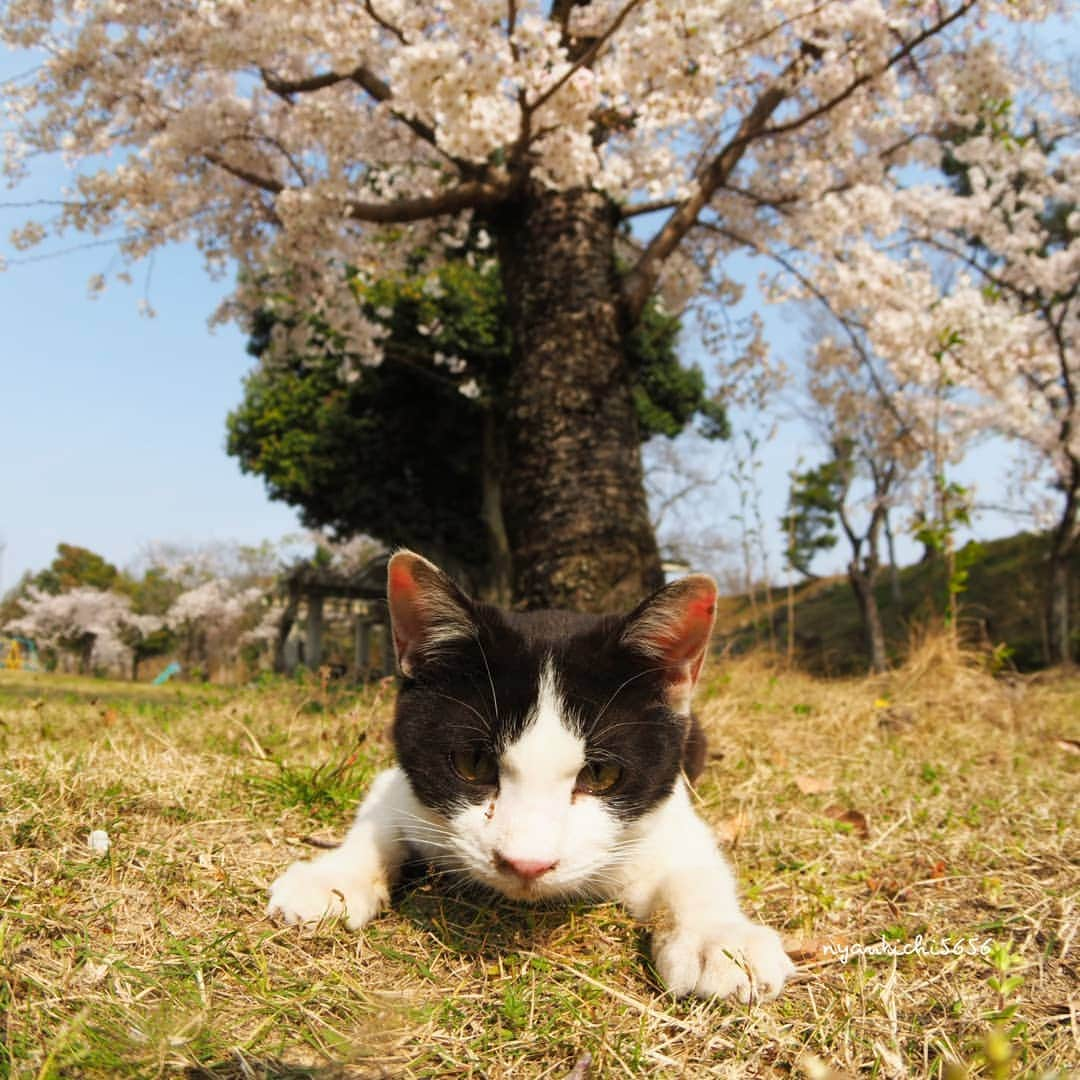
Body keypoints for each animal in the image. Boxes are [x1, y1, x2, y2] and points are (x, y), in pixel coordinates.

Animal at [270, 552, 794, 997]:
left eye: (601, 774)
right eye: (473, 764)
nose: (526, 864)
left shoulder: (668, 804)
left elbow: (694, 865)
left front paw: (720, 939)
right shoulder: (399, 780)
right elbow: (379, 818)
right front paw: (333, 878)